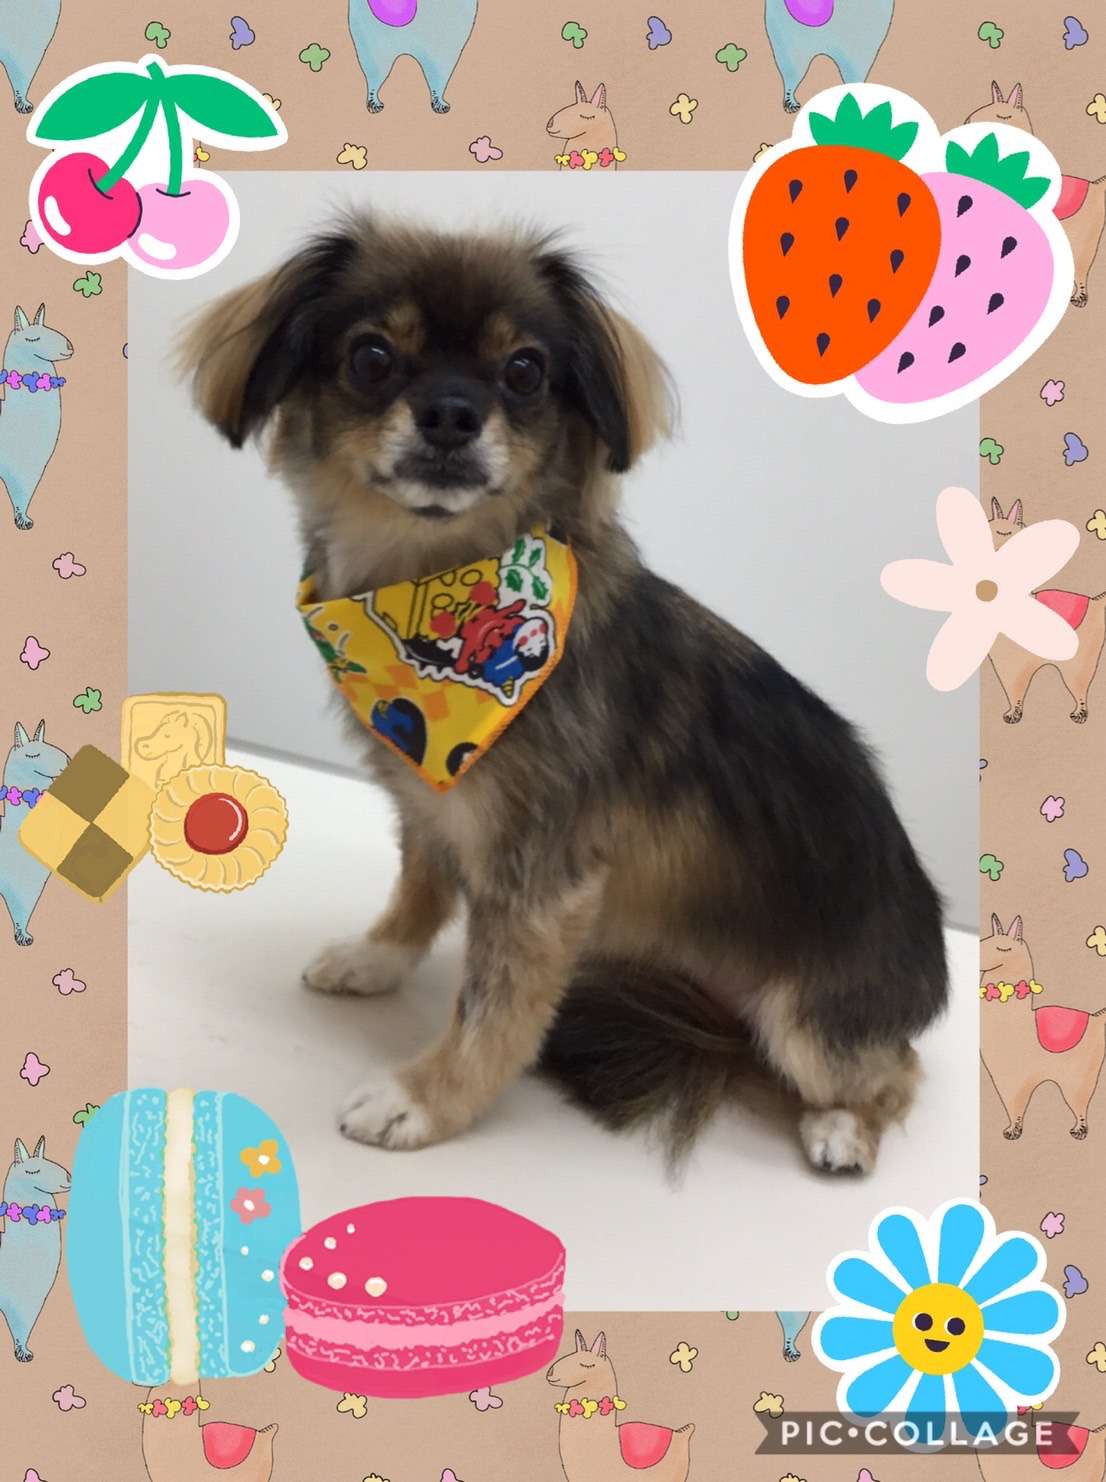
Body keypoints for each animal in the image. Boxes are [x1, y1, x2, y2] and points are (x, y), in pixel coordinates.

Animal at [181, 213, 948, 1174]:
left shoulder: (544, 878)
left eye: (524, 371)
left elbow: (494, 1007)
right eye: (370, 356)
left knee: (896, 1069)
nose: (451, 413)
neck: (435, 588)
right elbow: (419, 888)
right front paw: (375, 959)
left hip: (806, 1019)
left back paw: (842, 1126)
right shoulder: (428, 799)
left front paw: (425, 1099)